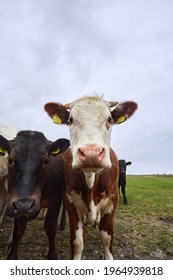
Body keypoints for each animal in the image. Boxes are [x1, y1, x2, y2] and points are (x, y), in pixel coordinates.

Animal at [0, 130, 69, 260]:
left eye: (46, 161)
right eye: (10, 159)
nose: (25, 205)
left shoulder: (55, 198)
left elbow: (51, 228)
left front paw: (53, 255)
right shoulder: (19, 203)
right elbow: (18, 230)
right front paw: (12, 255)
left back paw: (62, 224)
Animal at [44, 95, 138, 260]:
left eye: (109, 119)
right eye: (70, 120)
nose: (91, 153)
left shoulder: (112, 202)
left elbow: (107, 238)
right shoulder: (71, 201)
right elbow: (77, 242)